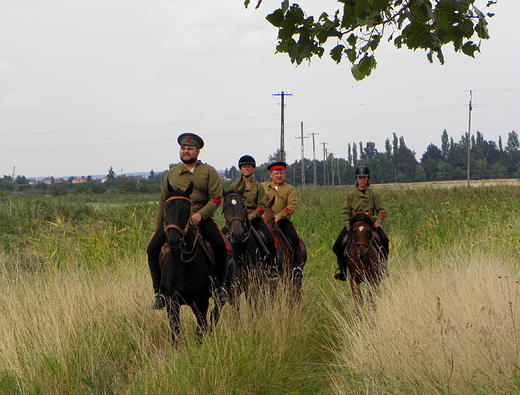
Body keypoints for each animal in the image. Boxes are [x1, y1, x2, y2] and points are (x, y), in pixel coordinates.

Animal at [159, 183, 222, 346]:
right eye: (166, 207)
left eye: (187, 208)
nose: (173, 241)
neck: (182, 265)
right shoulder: (172, 303)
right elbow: (175, 333)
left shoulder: (200, 301)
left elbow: (201, 330)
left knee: (215, 313)